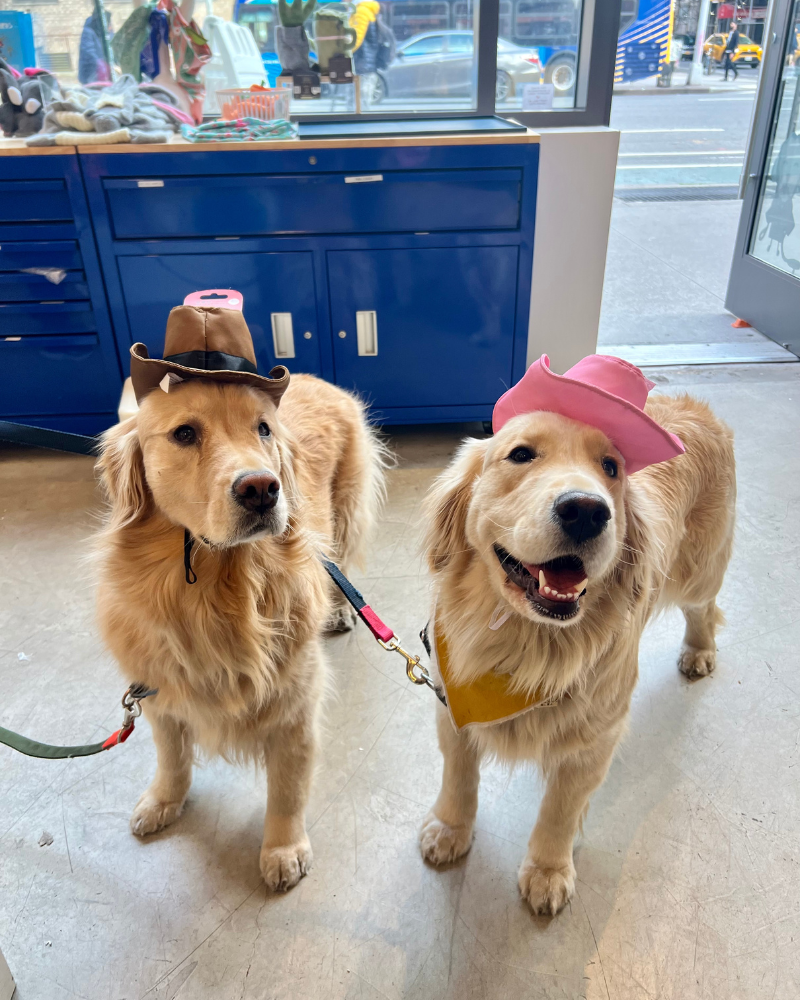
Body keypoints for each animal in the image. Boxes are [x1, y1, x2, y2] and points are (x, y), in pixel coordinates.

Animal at [95, 292, 386, 892]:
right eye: (185, 433)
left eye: (263, 430)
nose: (261, 489)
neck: (217, 590)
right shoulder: (158, 688)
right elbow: (171, 756)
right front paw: (163, 800)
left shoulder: (295, 702)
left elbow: (287, 788)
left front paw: (282, 849)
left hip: (346, 510)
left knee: (340, 563)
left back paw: (341, 611)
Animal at [422, 356, 736, 916]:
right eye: (520, 454)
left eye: (610, 467)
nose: (587, 511)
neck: (528, 646)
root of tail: (699, 407)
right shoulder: (450, 704)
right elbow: (458, 779)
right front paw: (449, 829)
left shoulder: (595, 738)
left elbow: (560, 811)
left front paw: (548, 871)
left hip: (700, 572)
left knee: (705, 608)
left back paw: (699, 652)